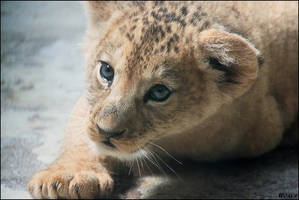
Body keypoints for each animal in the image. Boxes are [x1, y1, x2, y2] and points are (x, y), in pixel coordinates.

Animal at [27, 1, 298, 198]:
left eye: (159, 93)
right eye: (106, 71)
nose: (107, 132)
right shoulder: (91, 108)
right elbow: (81, 133)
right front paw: (66, 177)